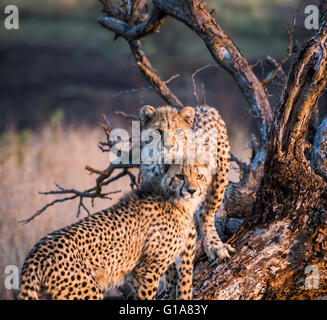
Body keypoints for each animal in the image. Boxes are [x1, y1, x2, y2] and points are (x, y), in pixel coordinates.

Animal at [18, 162, 211, 300]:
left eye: (199, 176)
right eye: (180, 176)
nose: (192, 190)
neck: (178, 202)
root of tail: (36, 252)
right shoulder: (146, 270)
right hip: (86, 291)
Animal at [140, 105, 234, 262]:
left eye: (177, 131)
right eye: (158, 131)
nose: (168, 146)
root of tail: (204, 107)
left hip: (220, 176)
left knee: (206, 214)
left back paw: (215, 245)